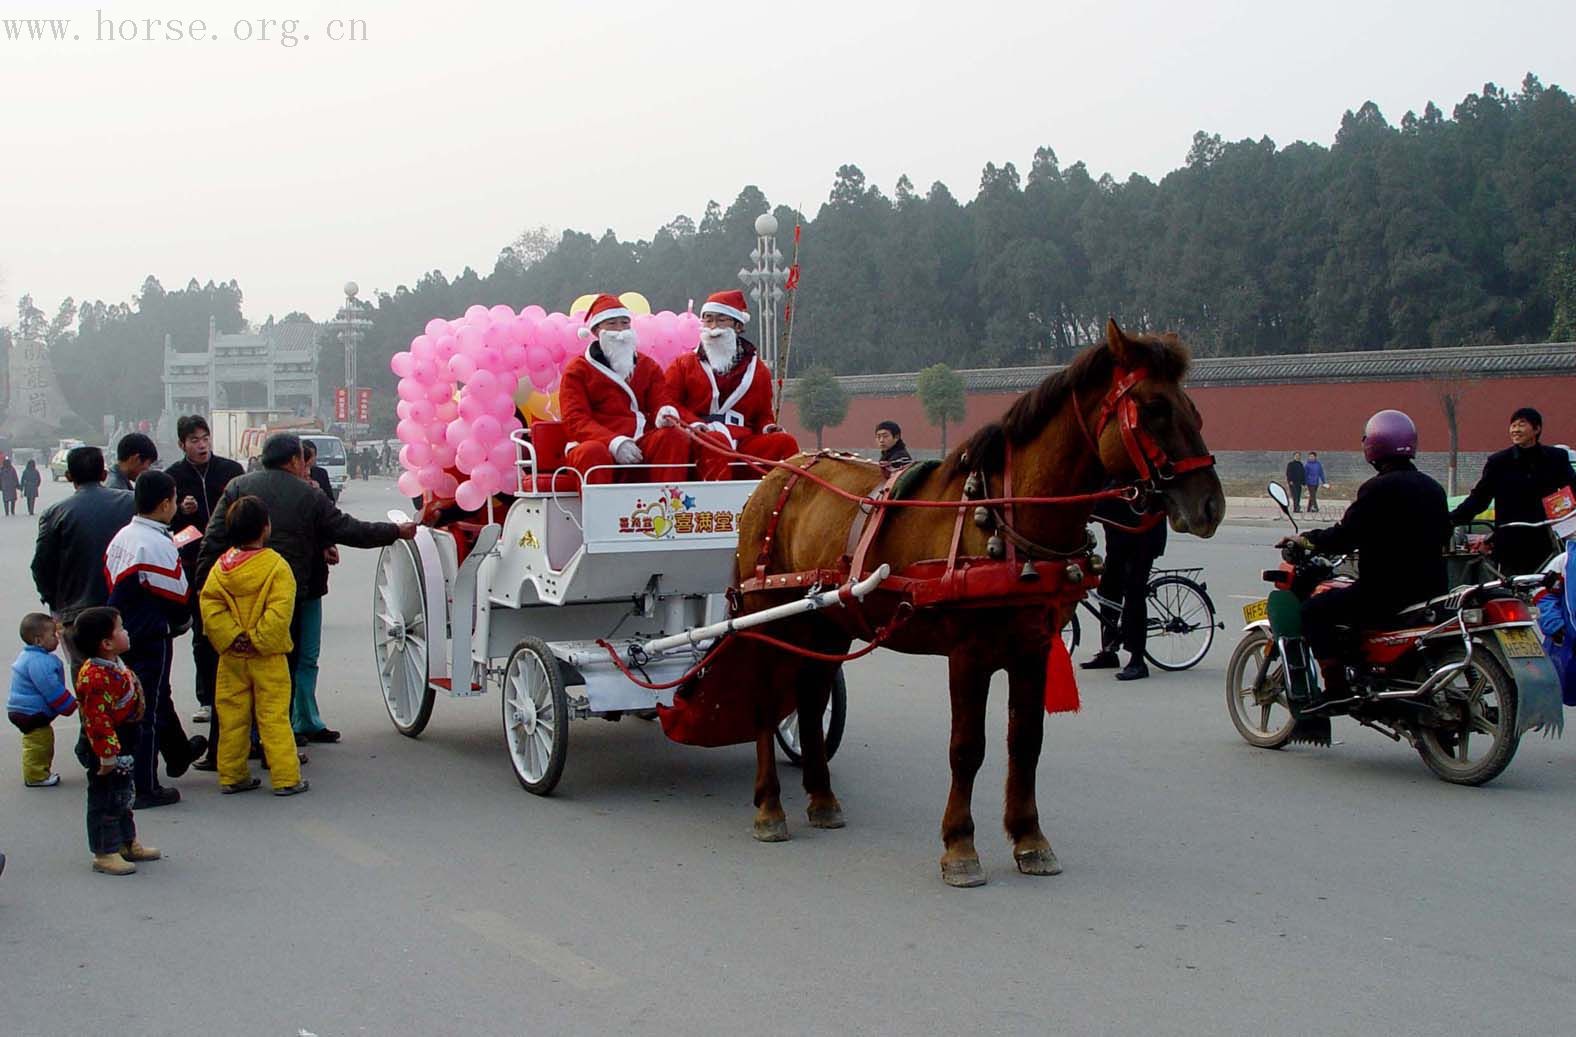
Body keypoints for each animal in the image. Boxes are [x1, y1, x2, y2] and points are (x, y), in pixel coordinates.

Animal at [731, 318, 1222, 882]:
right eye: (1154, 408)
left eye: (1195, 409)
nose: (1211, 504)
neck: (1008, 521)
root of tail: (779, 472)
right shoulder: (968, 654)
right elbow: (968, 748)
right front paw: (960, 845)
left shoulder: (1033, 648)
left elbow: (1025, 741)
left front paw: (1030, 838)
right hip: (766, 614)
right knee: (765, 701)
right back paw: (769, 806)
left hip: (826, 621)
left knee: (811, 699)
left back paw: (822, 798)